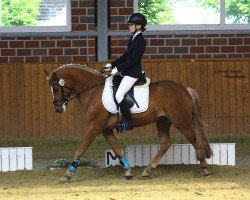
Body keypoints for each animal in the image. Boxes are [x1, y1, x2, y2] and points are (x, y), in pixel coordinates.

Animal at [44, 64, 211, 183]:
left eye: (56, 87)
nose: (57, 108)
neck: (92, 91)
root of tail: (184, 89)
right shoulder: (105, 129)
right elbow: (117, 150)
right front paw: (128, 171)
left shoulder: (94, 127)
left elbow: (81, 149)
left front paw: (67, 174)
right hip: (163, 121)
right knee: (166, 143)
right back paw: (148, 170)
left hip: (181, 122)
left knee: (195, 140)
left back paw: (204, 168)